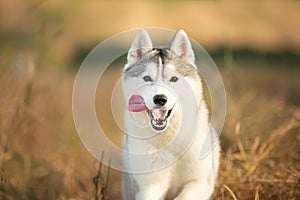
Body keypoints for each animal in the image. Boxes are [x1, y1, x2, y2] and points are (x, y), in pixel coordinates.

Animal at [120, 29, 219, 200]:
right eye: (147, 78)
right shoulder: (149, 186)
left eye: (174, 79)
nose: (160, 99)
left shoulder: (199, 182)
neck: (169, 138)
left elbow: (183, 197)